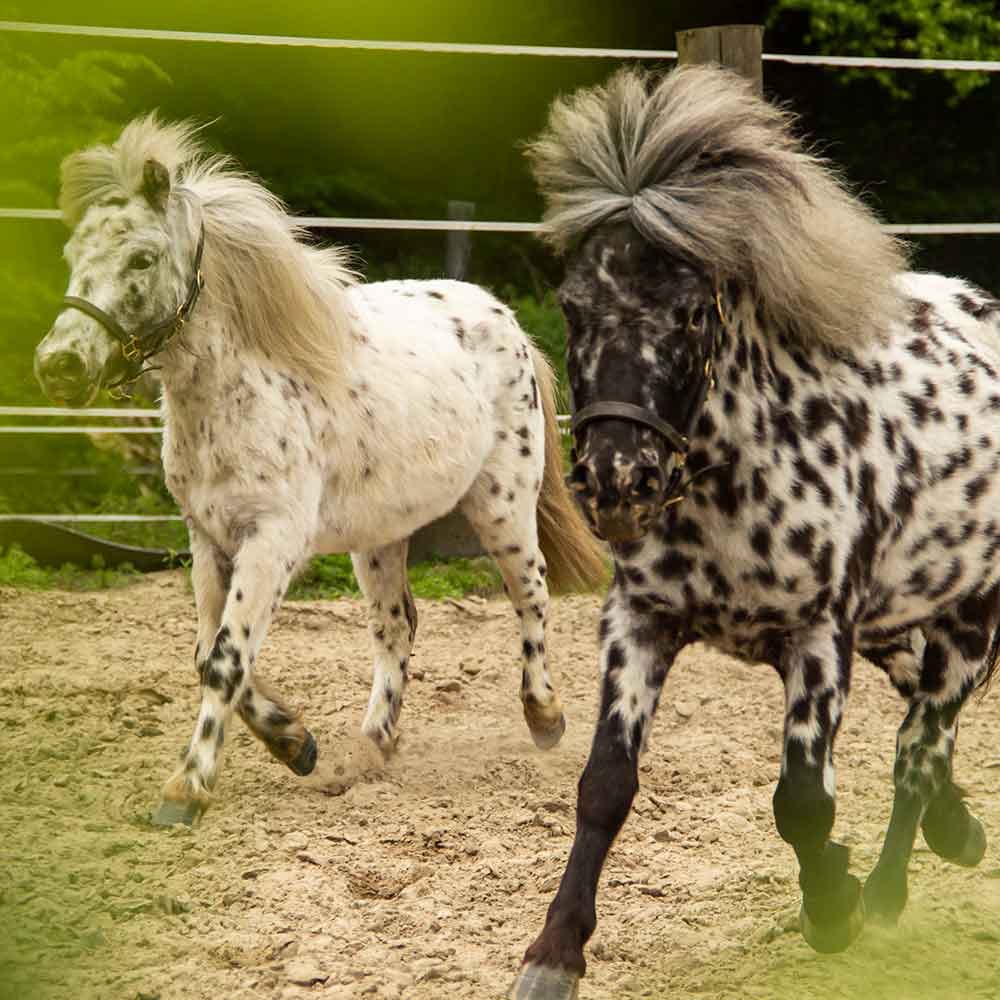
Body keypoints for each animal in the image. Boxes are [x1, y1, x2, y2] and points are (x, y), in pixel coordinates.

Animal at [35, 113, 604, 824]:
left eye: (141, 257)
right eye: (71, 255)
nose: (58, 366)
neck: (239, 390)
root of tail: (507, 322)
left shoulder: (272, 539)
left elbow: (225, 659)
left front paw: (187, 788)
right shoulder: (208, 540)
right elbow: (207, 654)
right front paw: (295, 743)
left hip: (503, 504)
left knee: (531, 594)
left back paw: (544, 718)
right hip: (380, 536)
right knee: (396, 626)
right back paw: (370, 749)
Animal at [508, 66, 1000, 996]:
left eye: (693, 313)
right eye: (572, 305)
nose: (617, 480)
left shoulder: (818, 640)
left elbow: (803, 803)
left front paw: (835, 910)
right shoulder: (640, 622)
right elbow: (604, 786)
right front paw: (554, 953)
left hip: (967, 620)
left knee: (920, 744)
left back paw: (889, 893)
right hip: (893, 627)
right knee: (922, 718)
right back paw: (955, 835)